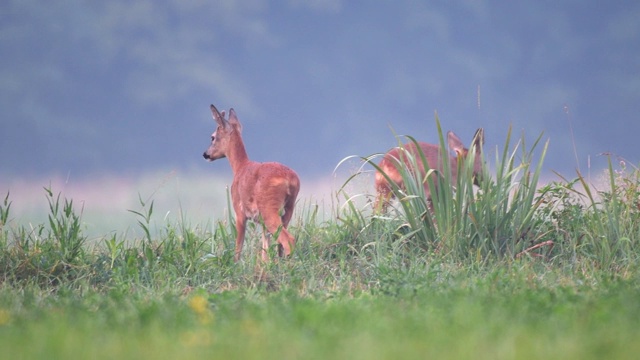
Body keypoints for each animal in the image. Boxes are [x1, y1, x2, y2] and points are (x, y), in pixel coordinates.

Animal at [201, 104, 302, 262]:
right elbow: (265, 249)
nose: (206, 154)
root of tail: (289, 179)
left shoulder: (239, 211)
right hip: (288, 209)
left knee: (288, 239)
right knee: (281, 242)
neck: (240, 167)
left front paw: (234, 264)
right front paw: (265, 265)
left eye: (212, 137)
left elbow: (238, 247)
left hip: (269, 208)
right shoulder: (261, 223)